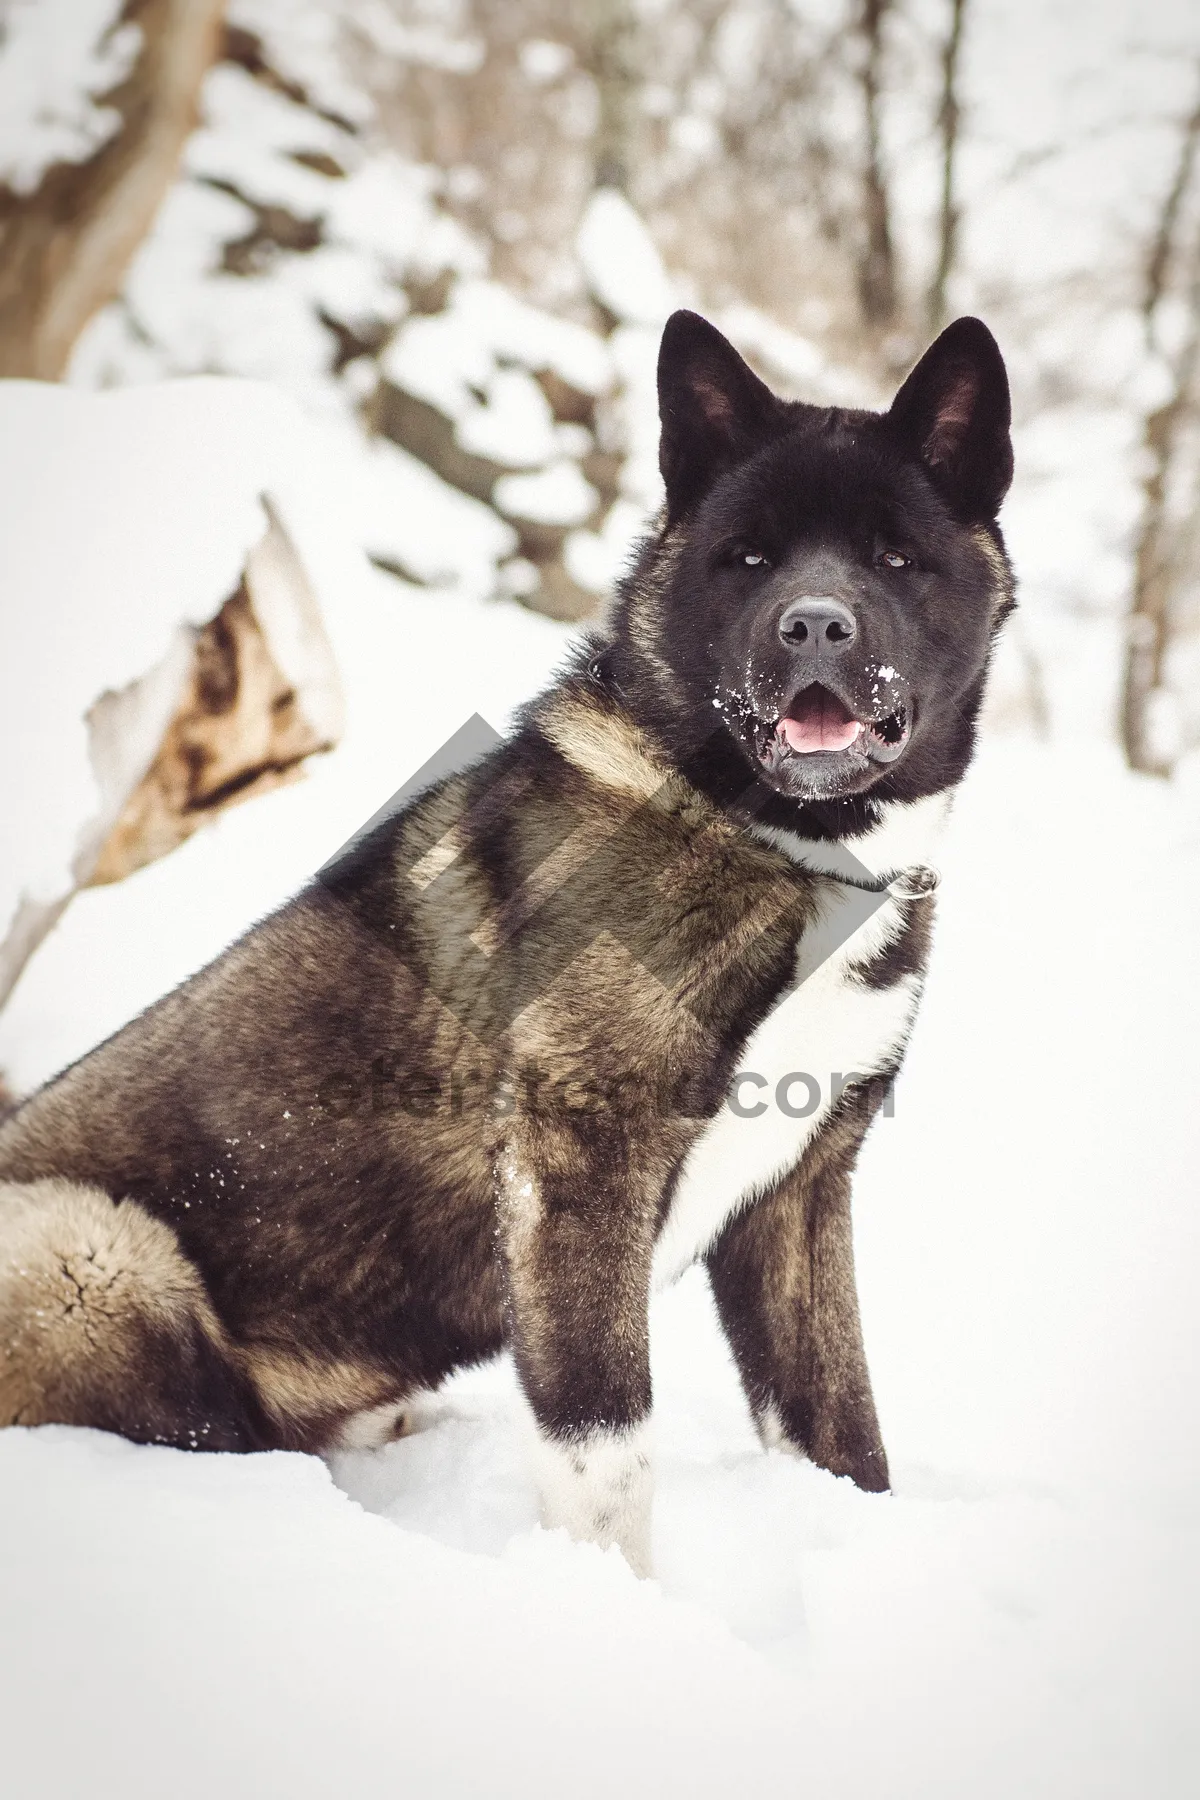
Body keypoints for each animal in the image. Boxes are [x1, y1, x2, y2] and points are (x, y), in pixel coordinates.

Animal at [0, 309, 1014, 1576]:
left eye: (891, 558)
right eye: (750, 558)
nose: (815, 624)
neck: (778, 841)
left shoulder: (799, 1196)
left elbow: (844, 1432)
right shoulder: (579, 1161)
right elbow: (606, 1450)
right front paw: (610, 1604)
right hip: (96, 1250)